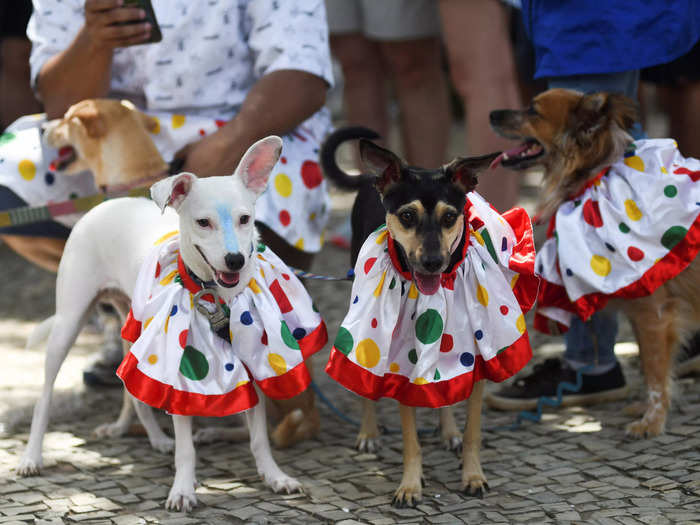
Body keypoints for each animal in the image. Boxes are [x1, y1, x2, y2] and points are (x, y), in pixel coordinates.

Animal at [18, 136, 304, 512]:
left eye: (245, 218)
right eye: (203, 222)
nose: (235, 260)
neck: (215, 296)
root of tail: (103, 206)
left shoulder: (249, 362)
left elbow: (259, 438)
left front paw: (274, 477)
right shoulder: (181, 369)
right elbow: (187, 448)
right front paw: (182, 489)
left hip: (134, 328)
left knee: (133, 393)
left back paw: (148, 436)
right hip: (68, 323)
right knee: (44, 397)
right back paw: (32, 457)